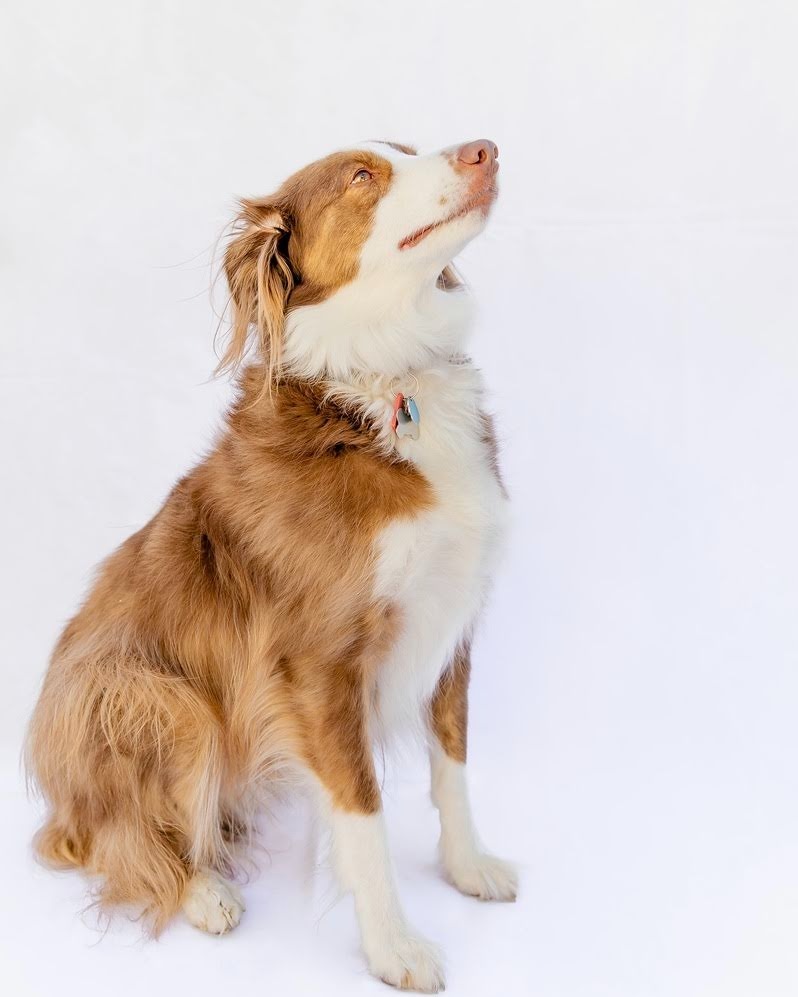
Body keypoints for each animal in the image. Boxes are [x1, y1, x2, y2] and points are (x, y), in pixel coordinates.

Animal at [26, 138, 520, 988]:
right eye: (363, 176)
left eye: (409, 148)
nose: (484, 149)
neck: (386, 378)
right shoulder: (319, 664)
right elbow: (363, 812)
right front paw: (393, 946)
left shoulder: (450, 620)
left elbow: (452, 763)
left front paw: (467, 866)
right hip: (152, 695)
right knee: (103, 839)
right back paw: (200, 889)